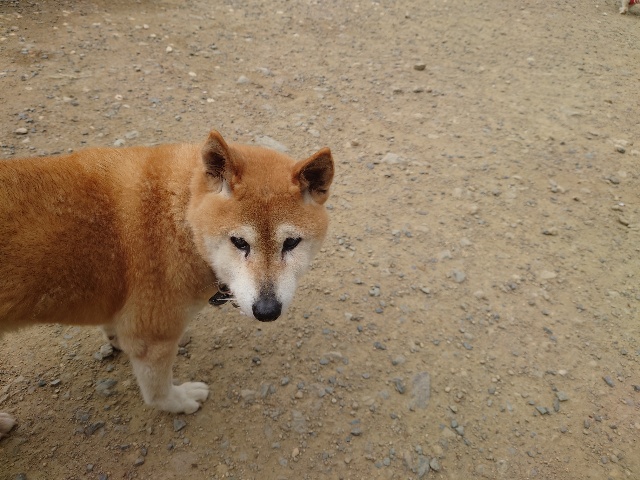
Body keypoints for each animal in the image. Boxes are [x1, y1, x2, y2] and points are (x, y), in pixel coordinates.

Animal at [0, 130, 334, 438]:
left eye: (291, 243)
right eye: (239, 242)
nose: (267, 311)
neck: (182, 217)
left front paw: (114, 337)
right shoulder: (152, 335)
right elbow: (157, 391)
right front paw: (179, 400)